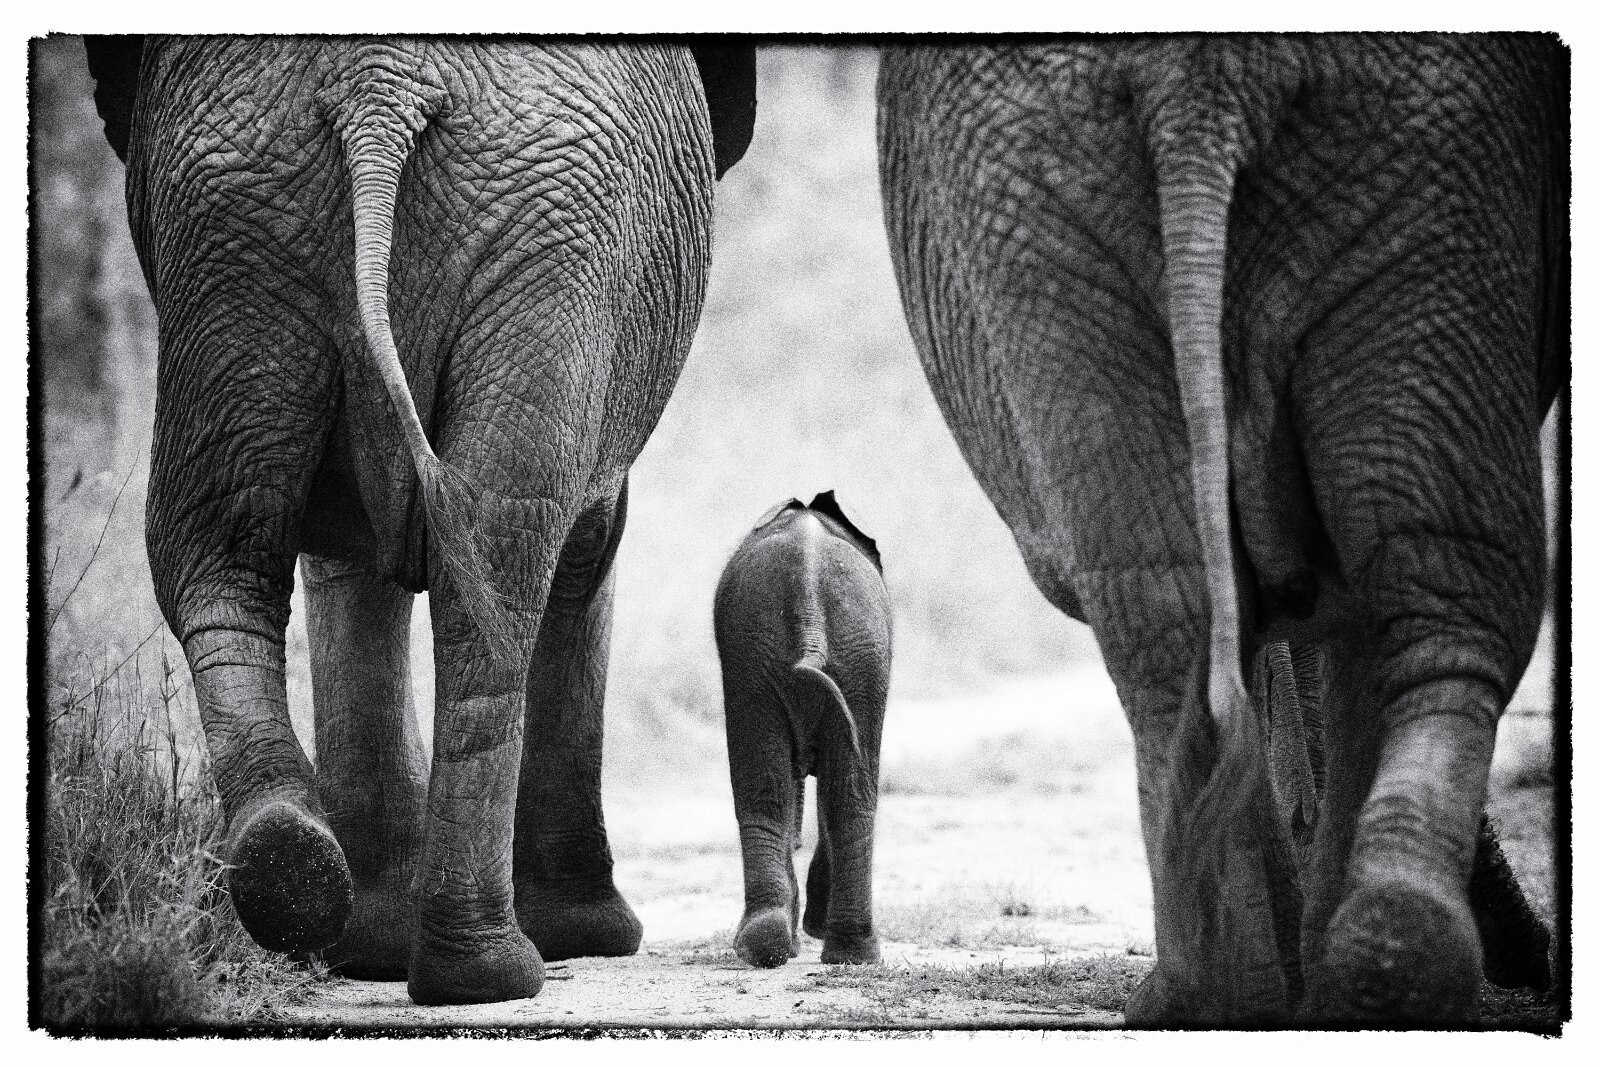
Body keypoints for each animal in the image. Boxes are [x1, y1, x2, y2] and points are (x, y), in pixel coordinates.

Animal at [82, 35, 755, 1006]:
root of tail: (378, 86)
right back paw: (490, 971)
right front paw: (587, 937)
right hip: (540, 238)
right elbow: (584, 547)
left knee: (219, 548)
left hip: (236, 235)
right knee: (503, 568)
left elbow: (347, 563)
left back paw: (300, 877)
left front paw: (365, 947)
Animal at [713, 492, 891, 967]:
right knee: (838, 793)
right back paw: (837, 952)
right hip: (809, 655)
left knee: (791, 790)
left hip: (817, 655)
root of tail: (808, 596)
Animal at [878, 35, 1566, 1025]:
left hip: (1044, 191)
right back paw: (1321, 981)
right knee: (1430, 589)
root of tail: (1204, 79)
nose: (1529, 956)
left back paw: (1291, 984)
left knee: (1178, 607)